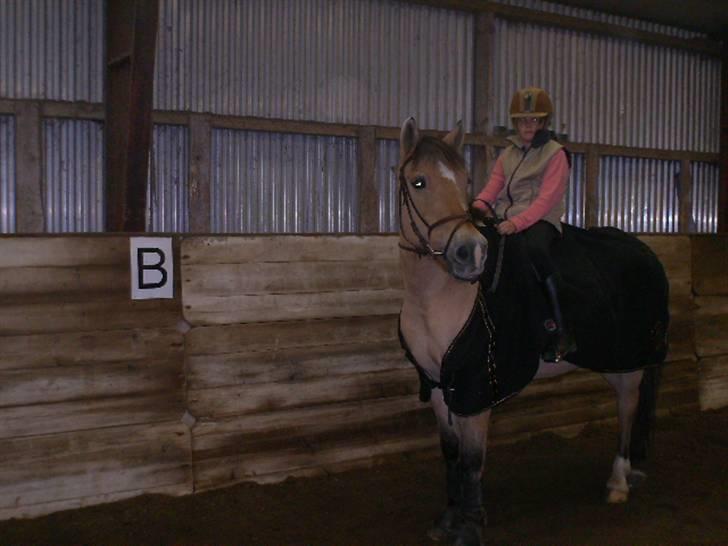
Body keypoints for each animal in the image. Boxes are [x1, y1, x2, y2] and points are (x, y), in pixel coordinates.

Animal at [396, 118, 668, 544]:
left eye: (464, 178)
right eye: (419, 181)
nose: (470, 252)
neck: (440, 296)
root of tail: (645, 252)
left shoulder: (476, 388)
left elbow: (472, 460)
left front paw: (470, 525)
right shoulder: (440, 384)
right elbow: (451, 453)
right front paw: (448, 518)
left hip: (629, 361)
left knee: (628, 408)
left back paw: (618, 482)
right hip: (613, 358)